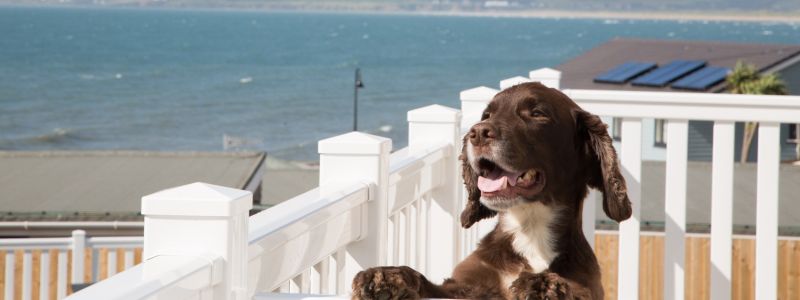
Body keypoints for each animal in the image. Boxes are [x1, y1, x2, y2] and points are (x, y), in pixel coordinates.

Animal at [354, 82, 628, 300]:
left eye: (537, 113)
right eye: (486, 114)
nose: (477, 132)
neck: (530, 231)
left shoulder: (589, 286)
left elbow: (573, 289)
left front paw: (542, 285)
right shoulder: (464, 286)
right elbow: (428, 284)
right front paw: (387, 276)